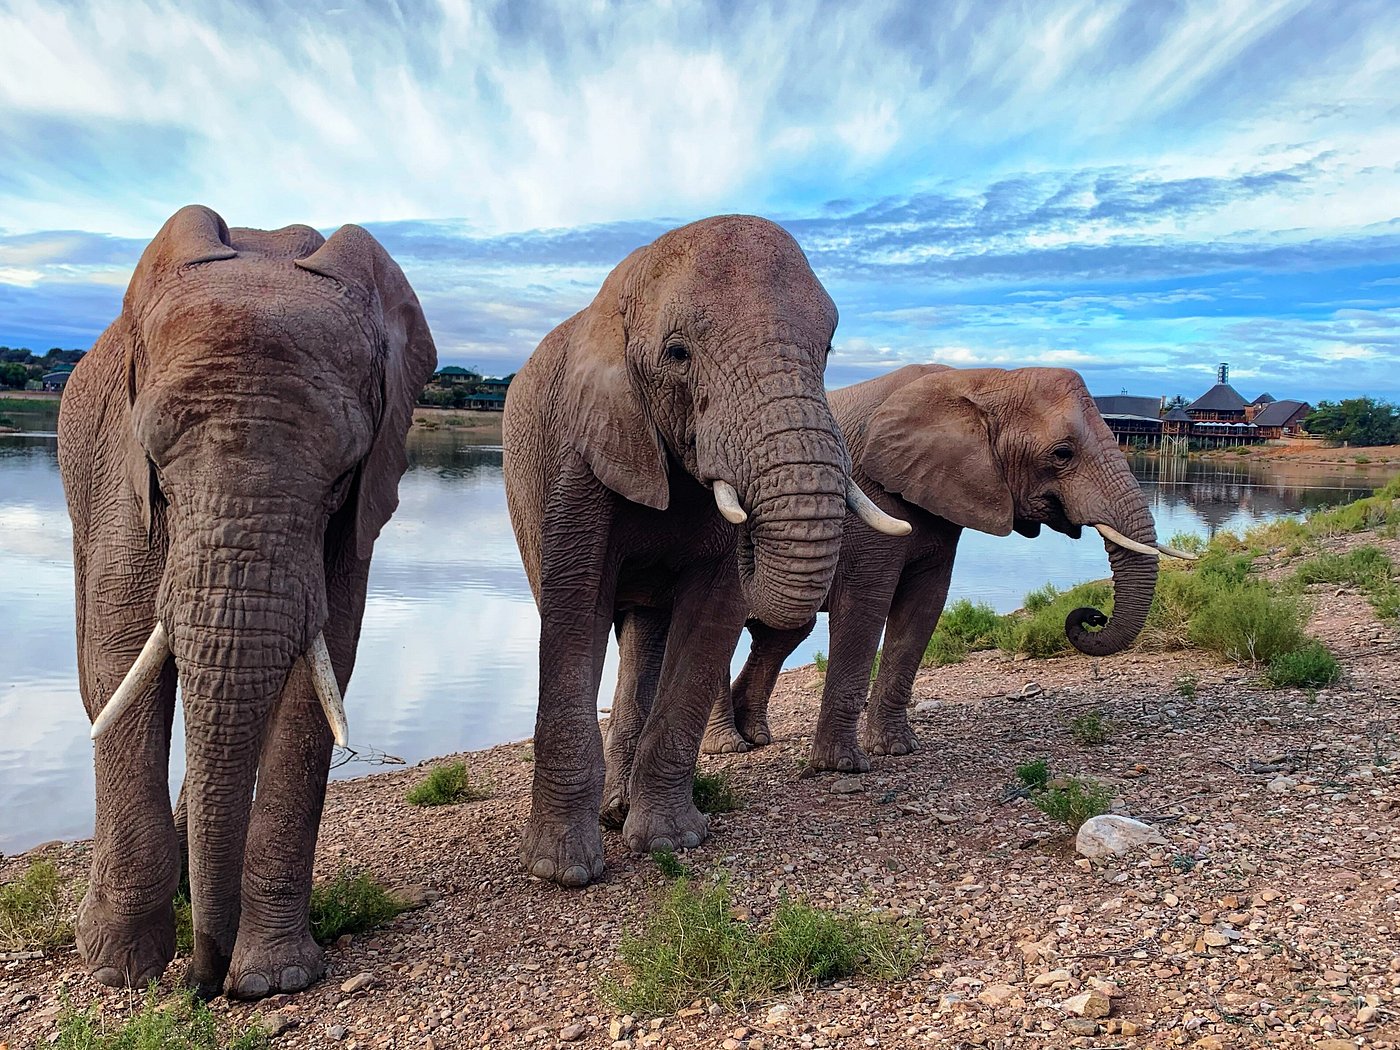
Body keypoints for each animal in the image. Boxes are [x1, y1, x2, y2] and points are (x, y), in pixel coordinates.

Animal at [57, 205, 436, 998]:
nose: (206, 982)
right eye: (156, 460)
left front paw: (272, 981)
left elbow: (317, 681)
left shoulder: (352, 523)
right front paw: (118, 971)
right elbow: (117, 664)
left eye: (341, 474)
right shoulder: (120, 484)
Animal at [502, 215, 908, 888]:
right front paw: (562, 872)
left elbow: (711, 615)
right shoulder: (580, 452)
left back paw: (621, 810)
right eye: (677, 354)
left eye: (827, 351)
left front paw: (670, 842)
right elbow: (575, 613)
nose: (751, 528)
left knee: (645, 634)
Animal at [694, 364, 1193, 771]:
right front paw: (843, 768)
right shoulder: (873, 494)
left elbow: (924, 606)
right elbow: (866, 606)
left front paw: (896, 750)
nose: (1090, 615)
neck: (978, 379)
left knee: (782, 634)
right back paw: (727, 746)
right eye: (1062, 453)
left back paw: (756, 736)